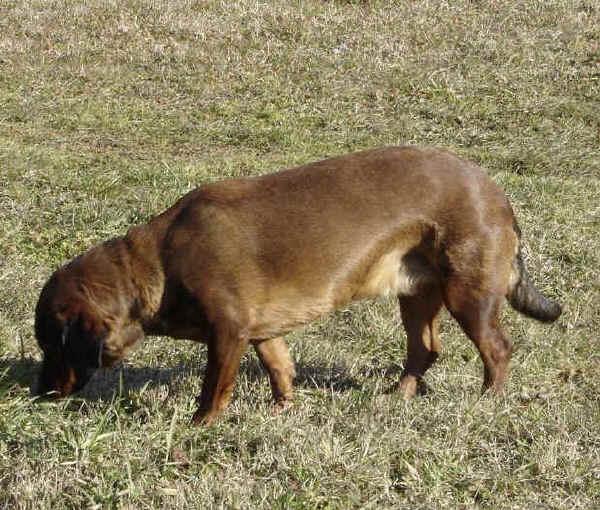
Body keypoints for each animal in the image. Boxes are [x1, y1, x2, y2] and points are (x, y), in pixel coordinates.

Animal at [35, 145, 560, 424]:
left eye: (52, 347)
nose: (38, 395)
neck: (156, 265)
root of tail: (498, 195)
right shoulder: (262, 333)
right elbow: (280, 369)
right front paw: (282, 409)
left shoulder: (228, 332)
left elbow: (213, 389)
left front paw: (200, 426)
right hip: (417, 293)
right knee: (425, 350)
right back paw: (399, 396)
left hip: (467, 293)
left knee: (498, 348)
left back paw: (489, 400)